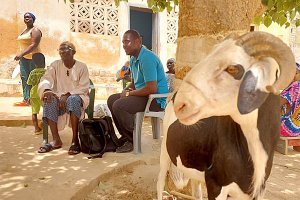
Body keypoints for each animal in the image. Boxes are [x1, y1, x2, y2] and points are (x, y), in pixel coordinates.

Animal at [157, 31, 296, 200]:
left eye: (232, 69)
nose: (181, 104)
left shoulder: (258, 191)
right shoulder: (215, 184)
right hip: (164, 152)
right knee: (159, 183)